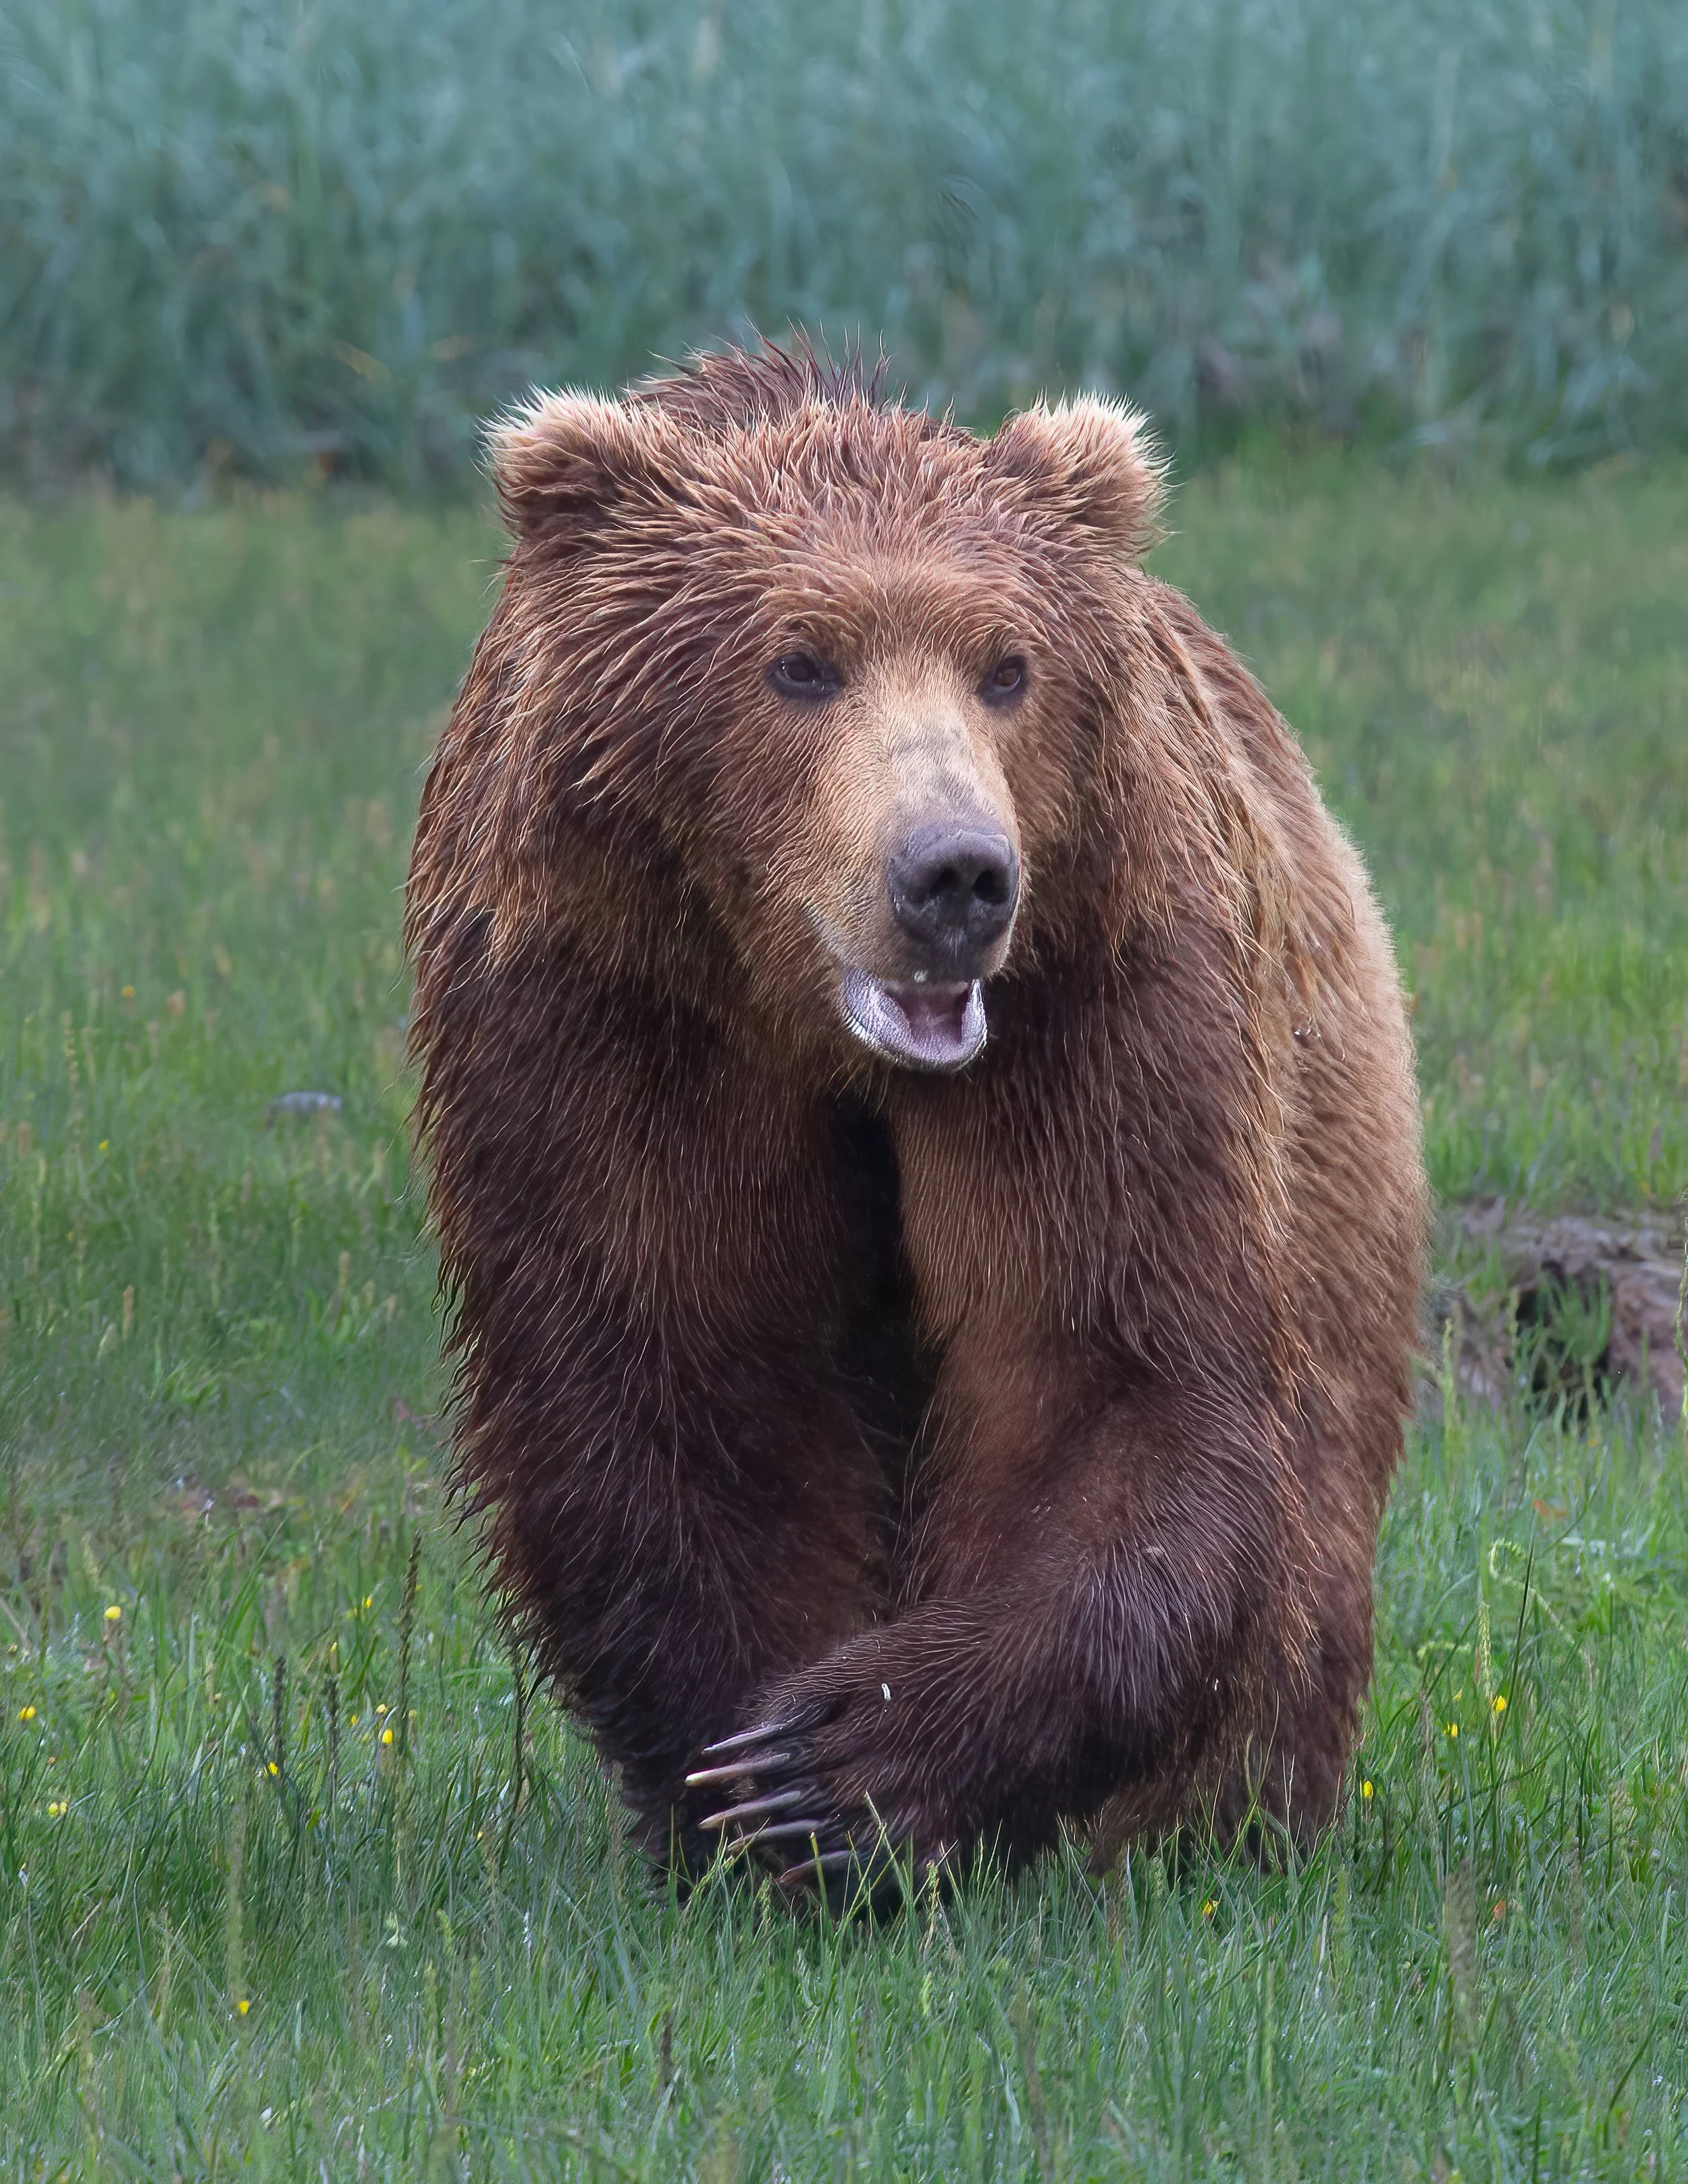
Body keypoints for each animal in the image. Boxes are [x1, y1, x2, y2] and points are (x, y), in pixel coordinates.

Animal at [405, 340, 1425, 1895]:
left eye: (1007, 665)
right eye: (798, 662)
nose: (953, 874)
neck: (807, 1022)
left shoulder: (1096, 1003)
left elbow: (1100, 1362)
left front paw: (846, 1768)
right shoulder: (609, 1017)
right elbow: (678, 1363)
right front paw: (743, 1798)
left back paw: (1217, 1825)